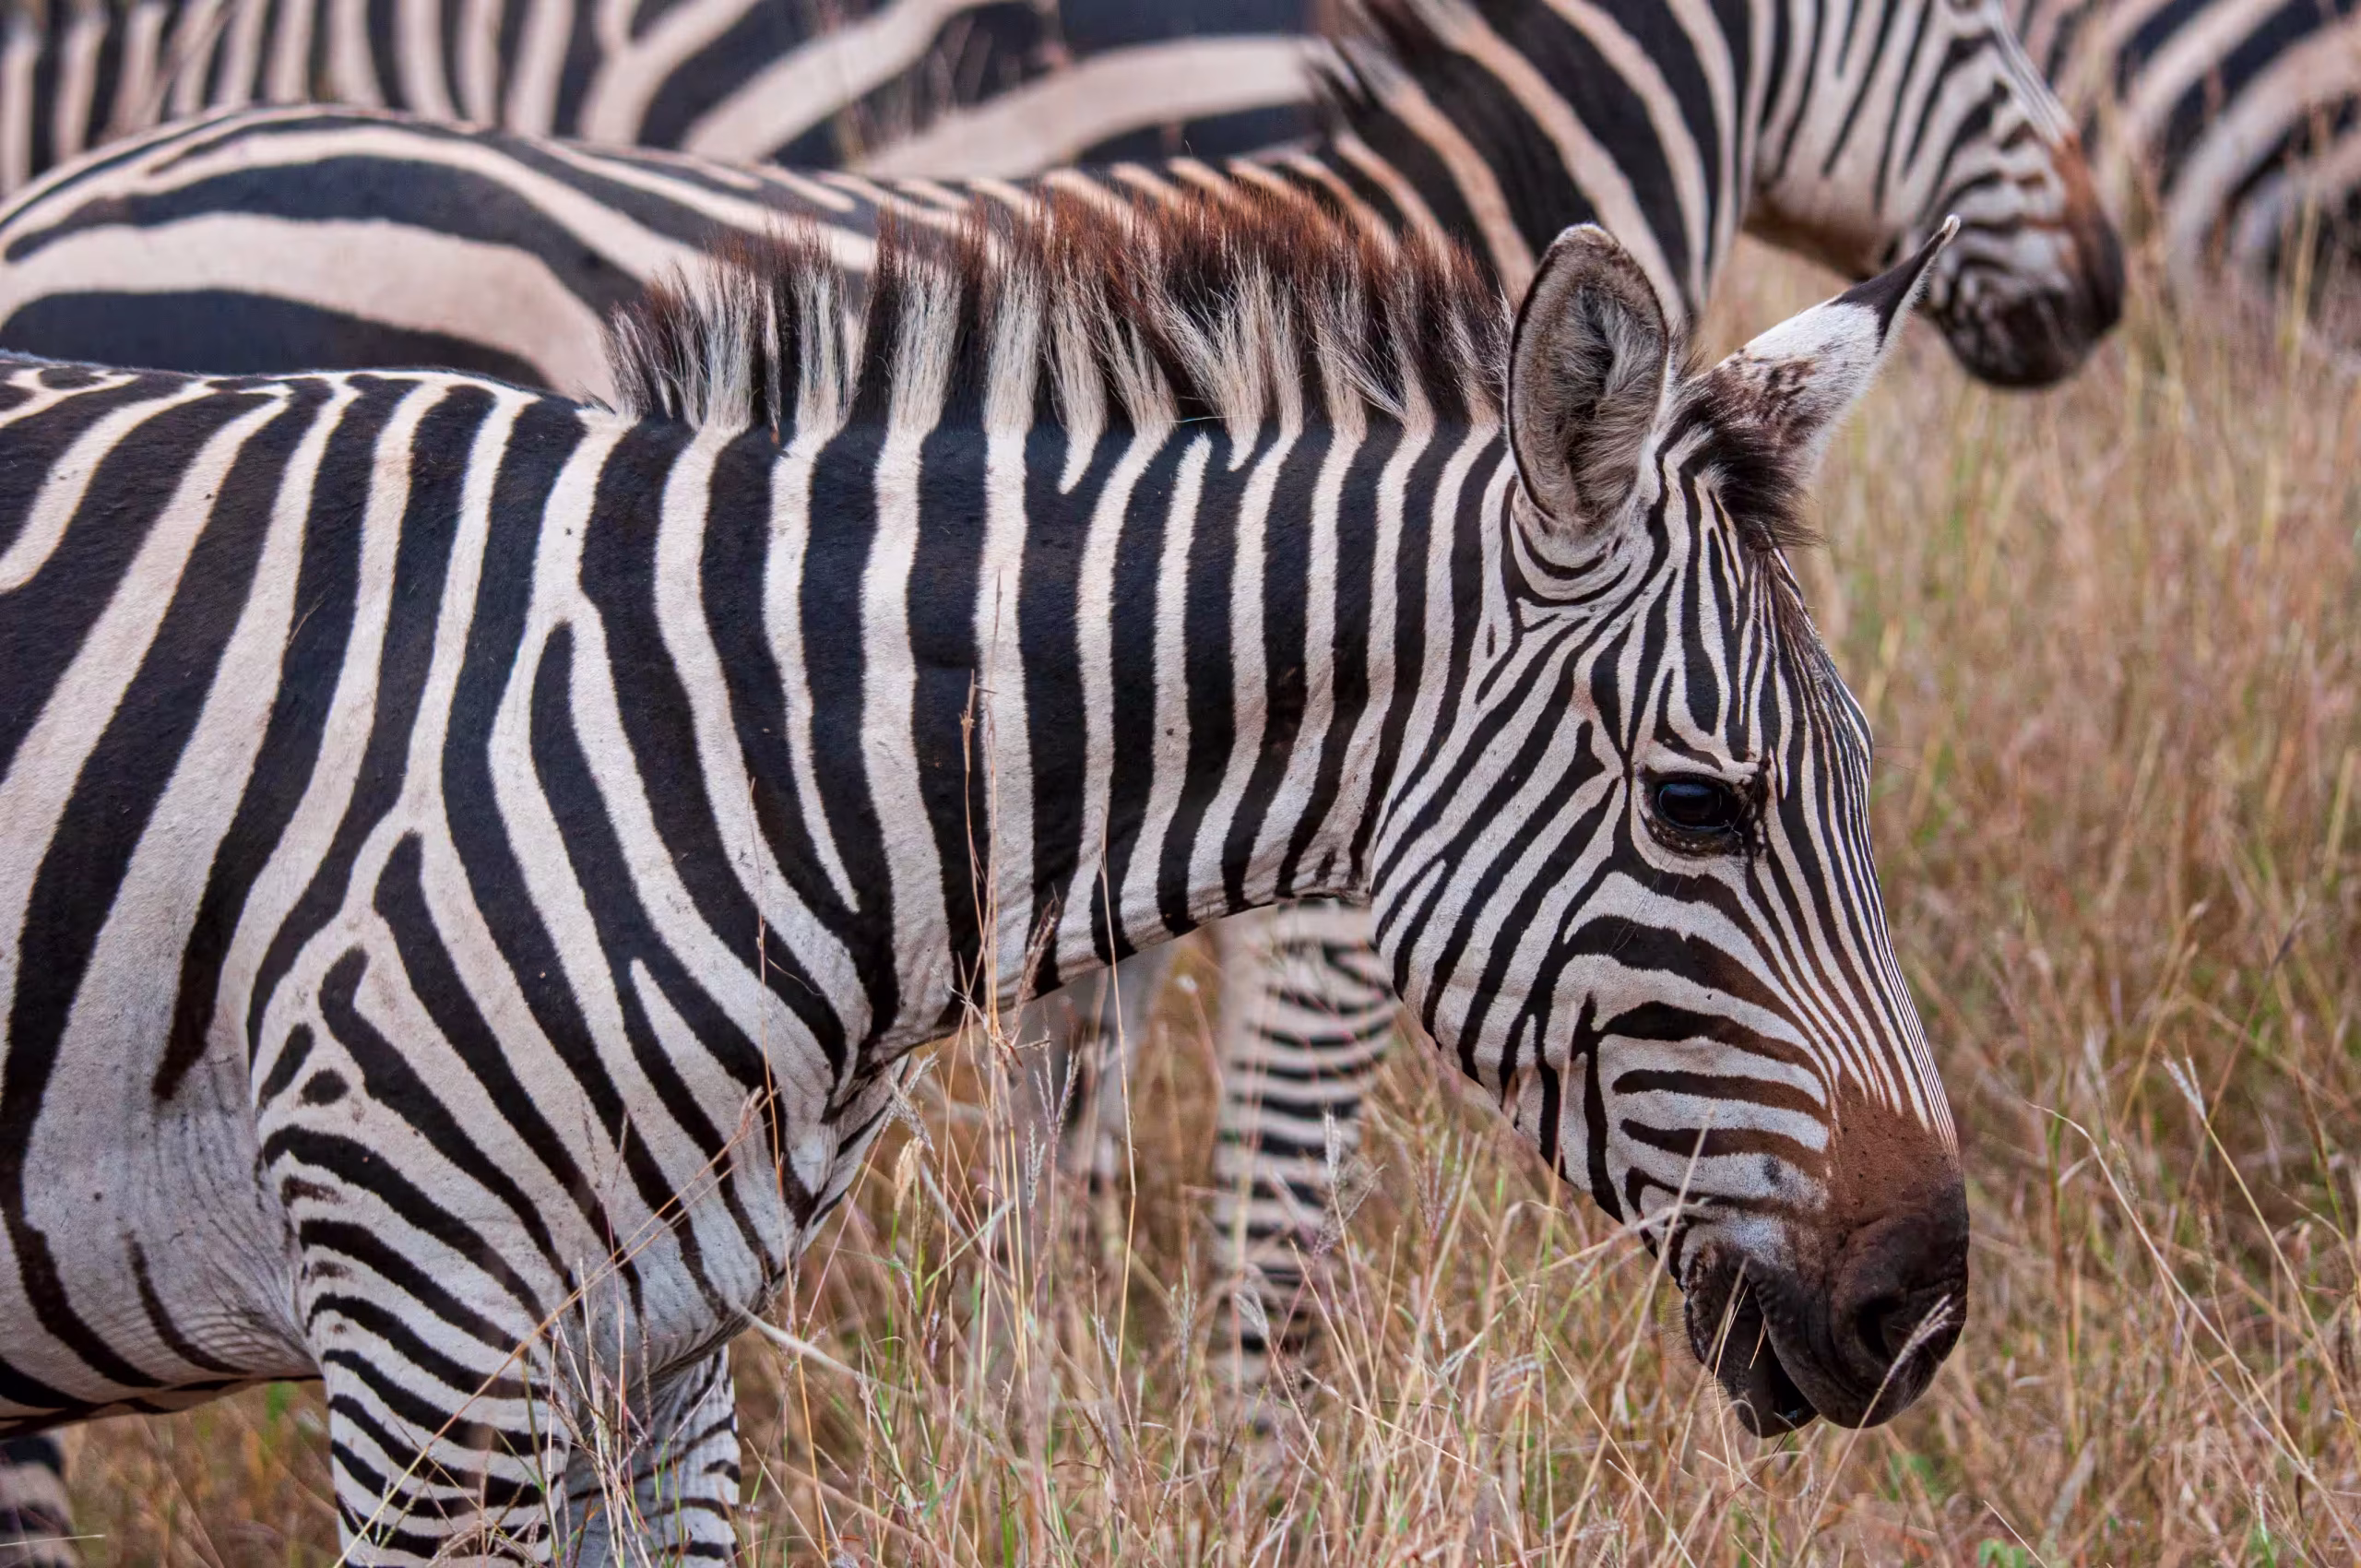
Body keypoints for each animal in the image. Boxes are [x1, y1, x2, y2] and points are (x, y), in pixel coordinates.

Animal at [0, 0, 2120, 1415]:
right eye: (1693, 808)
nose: (2103, 290)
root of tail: (82, 188)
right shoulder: (1317, 906)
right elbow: (1272, 1207)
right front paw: (1243, 1456)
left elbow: (1060, 1156)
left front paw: (1043, 1398)